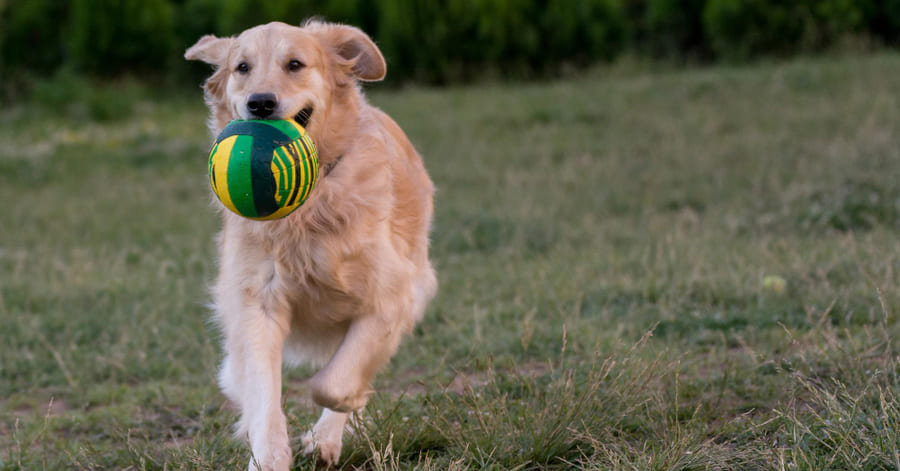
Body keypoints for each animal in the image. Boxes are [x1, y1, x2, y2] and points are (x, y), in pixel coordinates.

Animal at [184, 20, 436, 470]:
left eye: (295, 64)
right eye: (242, 67)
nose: (261, 103)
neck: (310, 205)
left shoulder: (392, 297)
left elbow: (332, 384)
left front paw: (329, 427)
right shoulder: (258, 299)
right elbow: (263, 391)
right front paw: (268, 455)